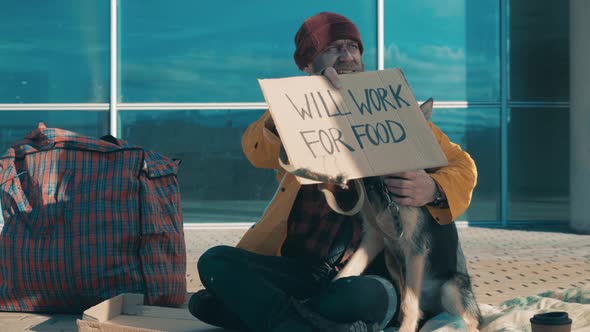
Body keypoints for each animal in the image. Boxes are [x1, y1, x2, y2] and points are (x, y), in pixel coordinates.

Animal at [284, 100, 484, 330]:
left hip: (450, 288)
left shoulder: (415, 248)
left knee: (471, 321)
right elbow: (347, 272)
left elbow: (410, 303)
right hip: (392, 262)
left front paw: (406, 329)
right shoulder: (374, 238)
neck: (386, 189)